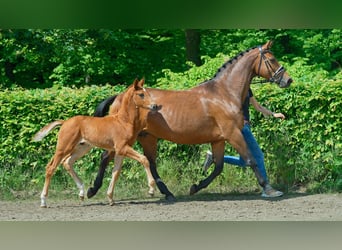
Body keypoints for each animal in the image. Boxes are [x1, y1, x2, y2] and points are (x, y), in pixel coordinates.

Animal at [32, 78, 160, 207]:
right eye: (141, 94)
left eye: (147, 93)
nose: (154, 106)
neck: (124, 121)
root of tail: (65, 122)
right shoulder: (122, 148)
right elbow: (144, 159)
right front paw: (151, 189)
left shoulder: (120, 151)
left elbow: (116, 172)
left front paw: (110, 198)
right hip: (64, 147)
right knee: (51, 167)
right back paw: (43, 201)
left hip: (82, 148)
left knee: (67, 162)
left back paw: (82, 193)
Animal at [89, 40, 294, 201]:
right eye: (272, 59)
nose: (288, 80)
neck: (224, 93)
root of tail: (119, 96)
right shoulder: (233, 134)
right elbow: (251, 160)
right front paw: (269, 188)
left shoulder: (218, 140)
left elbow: (218, 167)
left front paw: (195, 187)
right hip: (129, 138)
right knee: (106, 157)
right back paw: (92, 190)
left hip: (147, 137)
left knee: (151, 163)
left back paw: (167, 193)